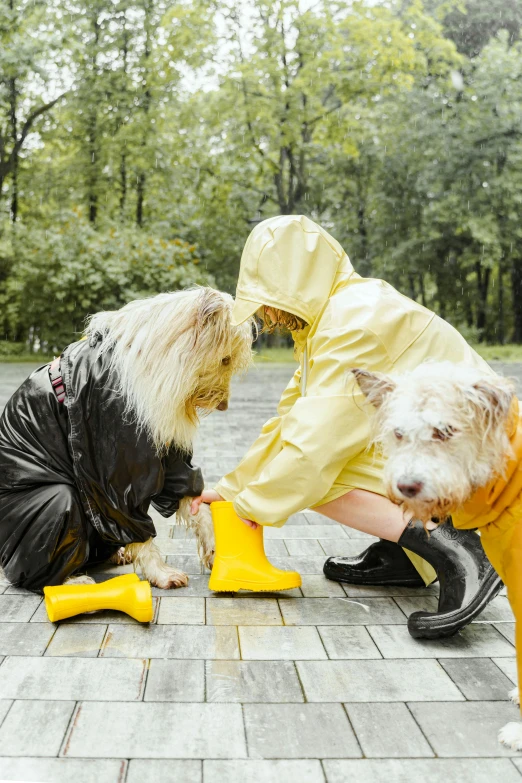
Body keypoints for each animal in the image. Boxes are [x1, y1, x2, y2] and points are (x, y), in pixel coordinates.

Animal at [0, 290, 252, 592]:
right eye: (225, 359)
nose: (224, 406)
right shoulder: (113, 466)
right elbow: (129, 517)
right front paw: (160, 572)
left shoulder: (164, 446)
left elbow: (191, 498)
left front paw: (215, 549)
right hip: (50, 508)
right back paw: (71, 579)